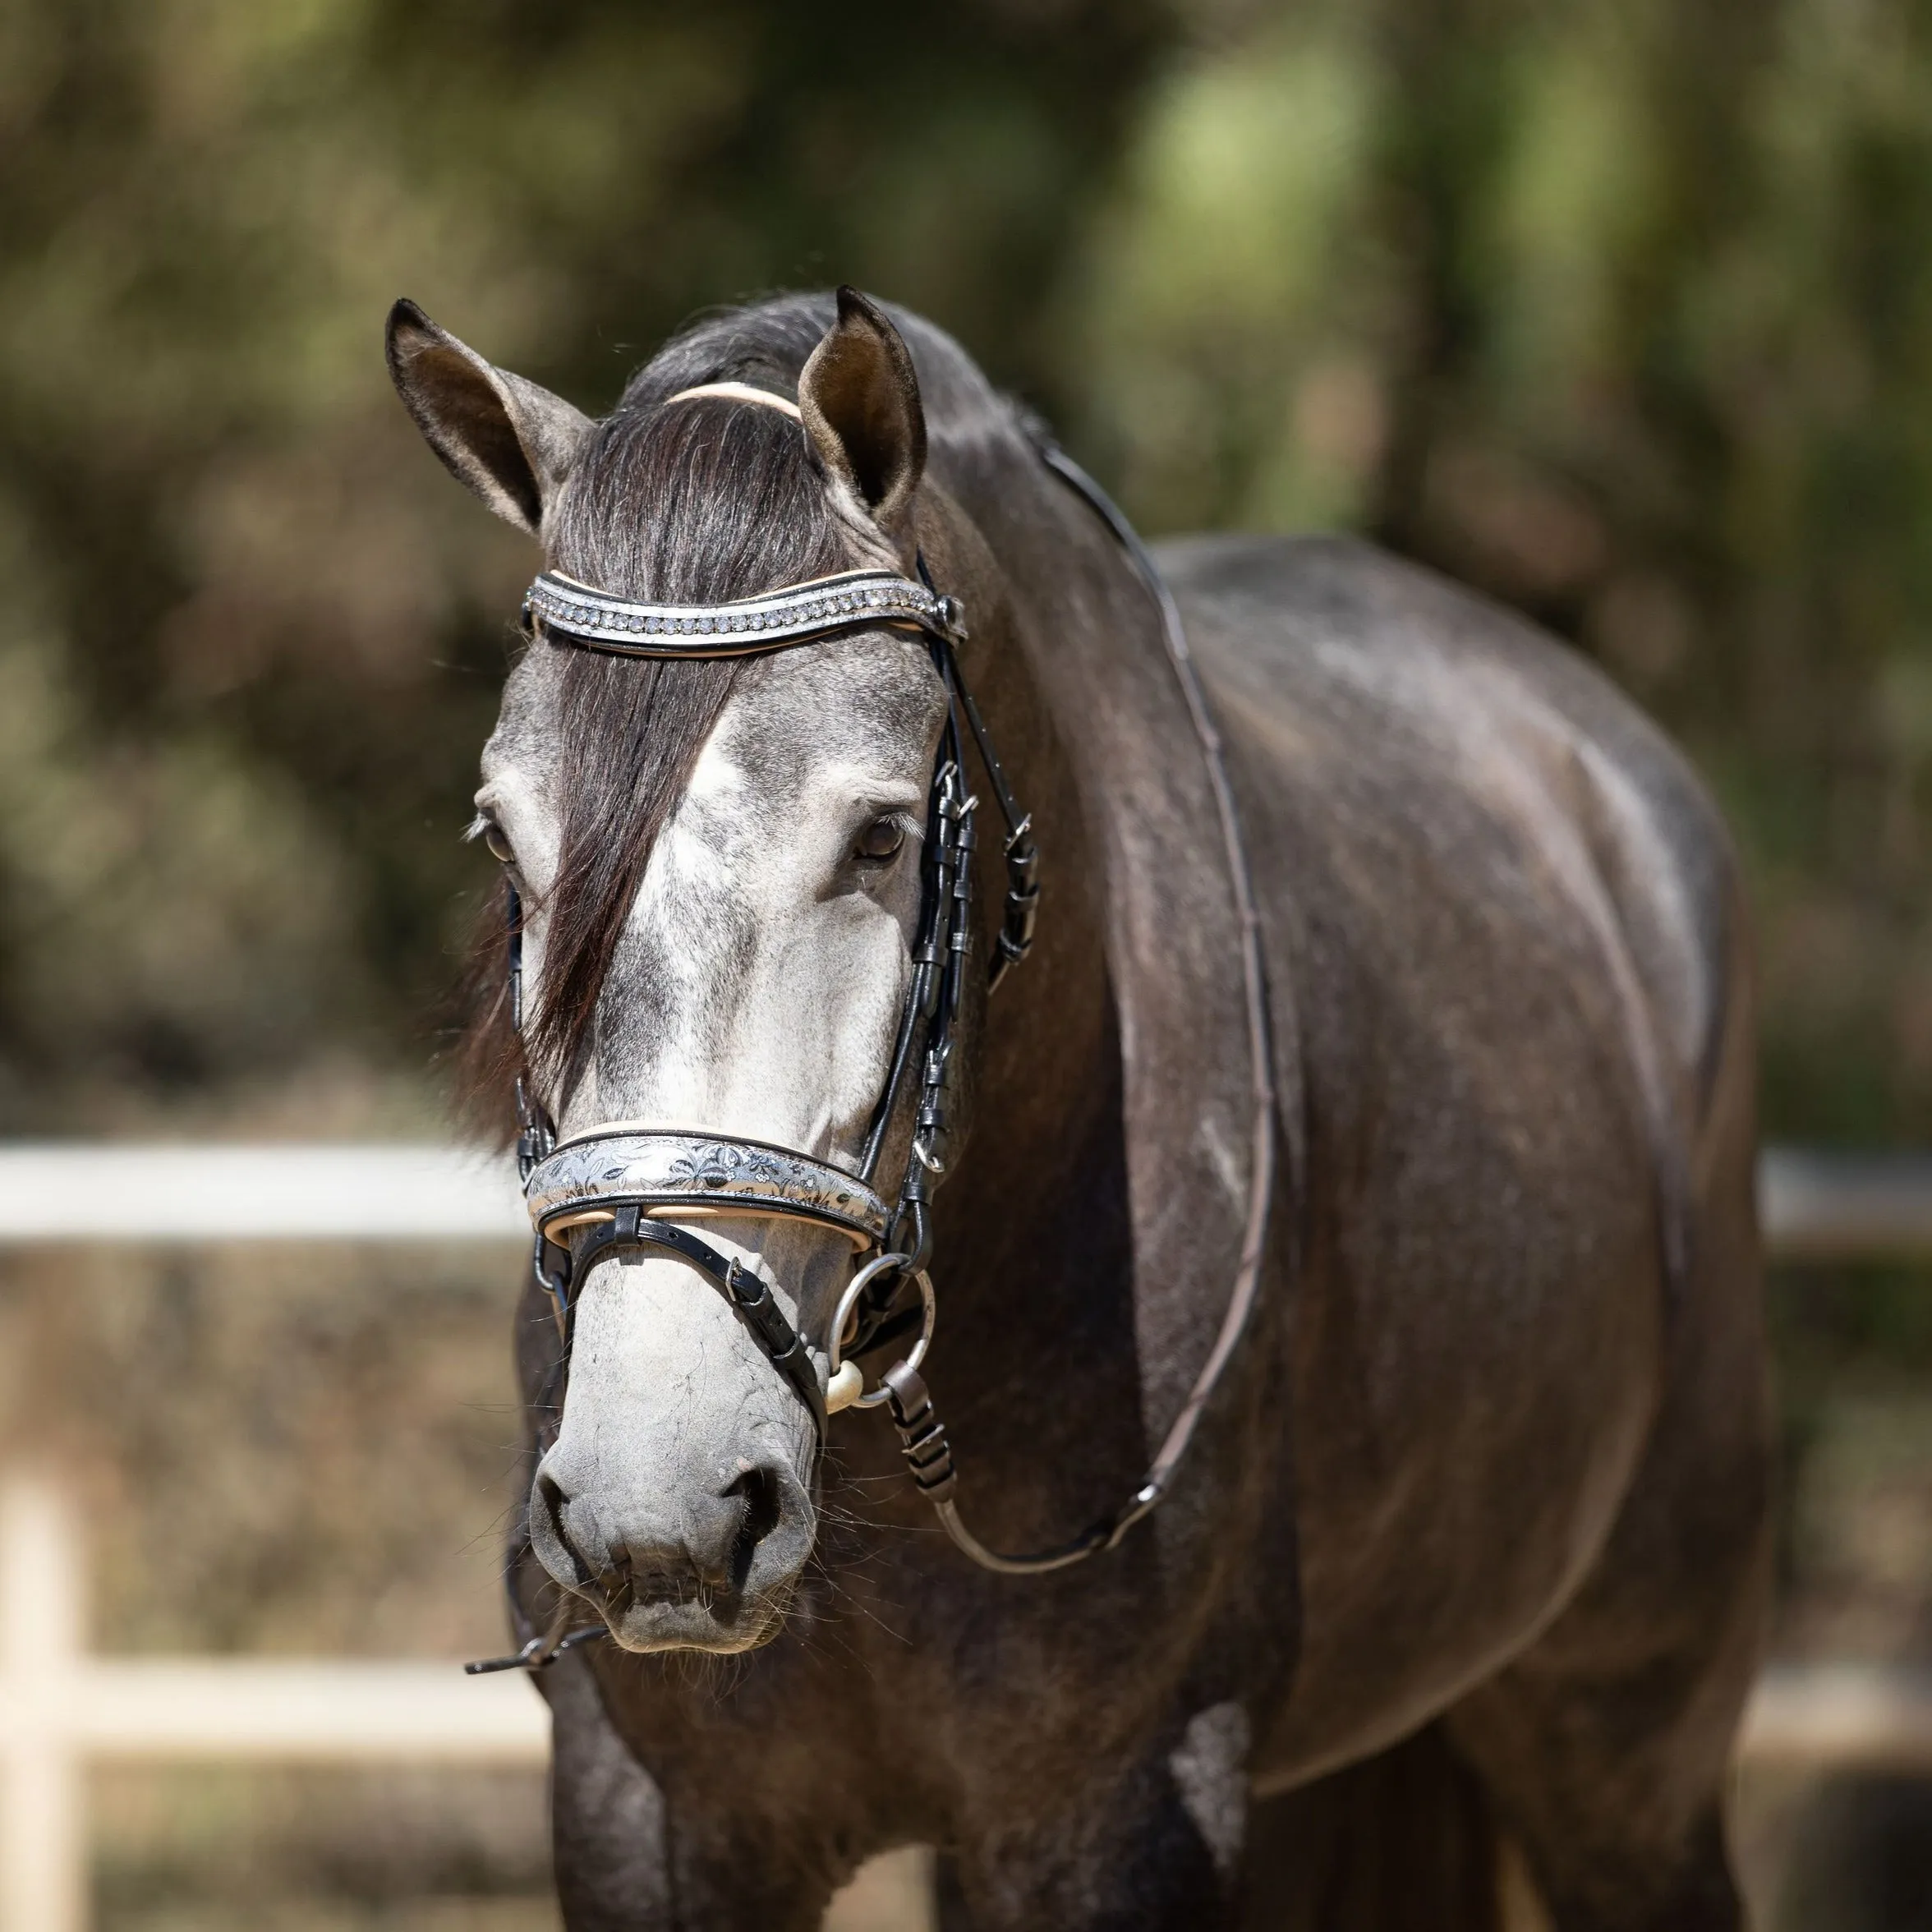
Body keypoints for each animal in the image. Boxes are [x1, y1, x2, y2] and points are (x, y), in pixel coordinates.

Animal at [388, 280, 1769, 1924]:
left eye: (878, 836)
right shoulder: (645, 1815)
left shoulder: (1116, 1813)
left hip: (1628, 1742)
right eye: (502, 837)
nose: (658, 1507)